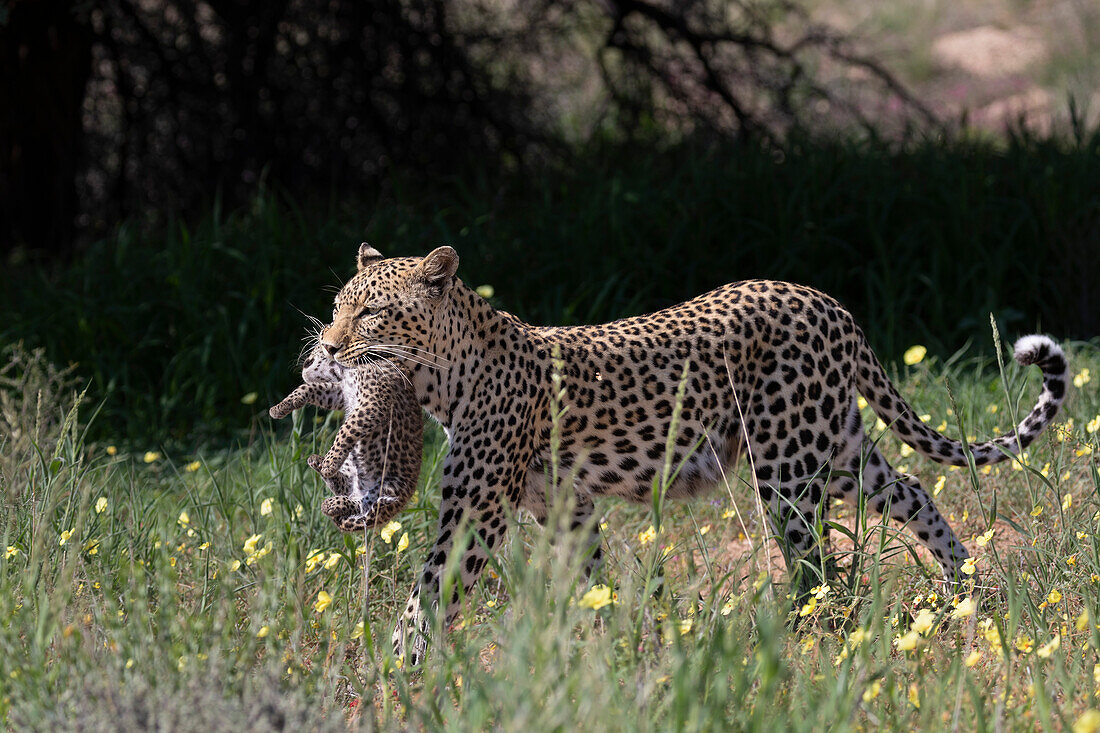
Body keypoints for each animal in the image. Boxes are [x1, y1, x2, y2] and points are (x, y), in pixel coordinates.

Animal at [316, 242, 1064, 660]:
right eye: (336, 306)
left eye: (370, 313)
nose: (326, 345)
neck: (441, 376)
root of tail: (827, 301)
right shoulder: (564, 504)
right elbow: (590, 577)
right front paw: (615, 643)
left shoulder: (477, 509)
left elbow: (428, 590)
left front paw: (397, 667)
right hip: (835, 447)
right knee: (910, 487)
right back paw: (964, 584)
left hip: (789, 465)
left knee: (817, 559)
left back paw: (804, 636)